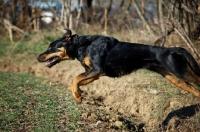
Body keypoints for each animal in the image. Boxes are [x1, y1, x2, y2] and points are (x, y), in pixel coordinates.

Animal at [37, 29, 200, 103]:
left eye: (51, 47)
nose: (38, 57)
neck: (82, 45)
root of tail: (172, 49)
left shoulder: (96, 70)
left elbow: (74, 79)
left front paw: (77, 96)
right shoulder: (93, 73)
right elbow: (76, 81)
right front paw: (78, 94)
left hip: (182, 72)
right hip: (175, 78)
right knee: (196, 91)